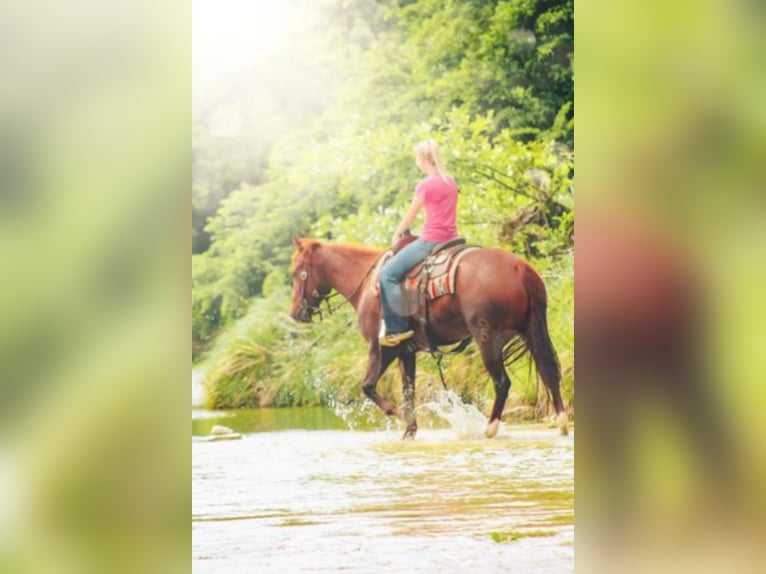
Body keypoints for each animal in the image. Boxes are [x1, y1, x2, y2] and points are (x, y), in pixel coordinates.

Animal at [288, 236, 568, 438]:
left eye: (297, 272)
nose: (295, 313)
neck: (367, 284)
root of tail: (519, 268)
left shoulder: (381, 348)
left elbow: (367, 386)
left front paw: (399, 414)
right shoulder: (406, 351)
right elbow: (408, 390)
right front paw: (409, 429)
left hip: (487, 337)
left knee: (502, 382)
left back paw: (489, 428)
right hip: (532, 329)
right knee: (549, 371)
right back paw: (562, 421)